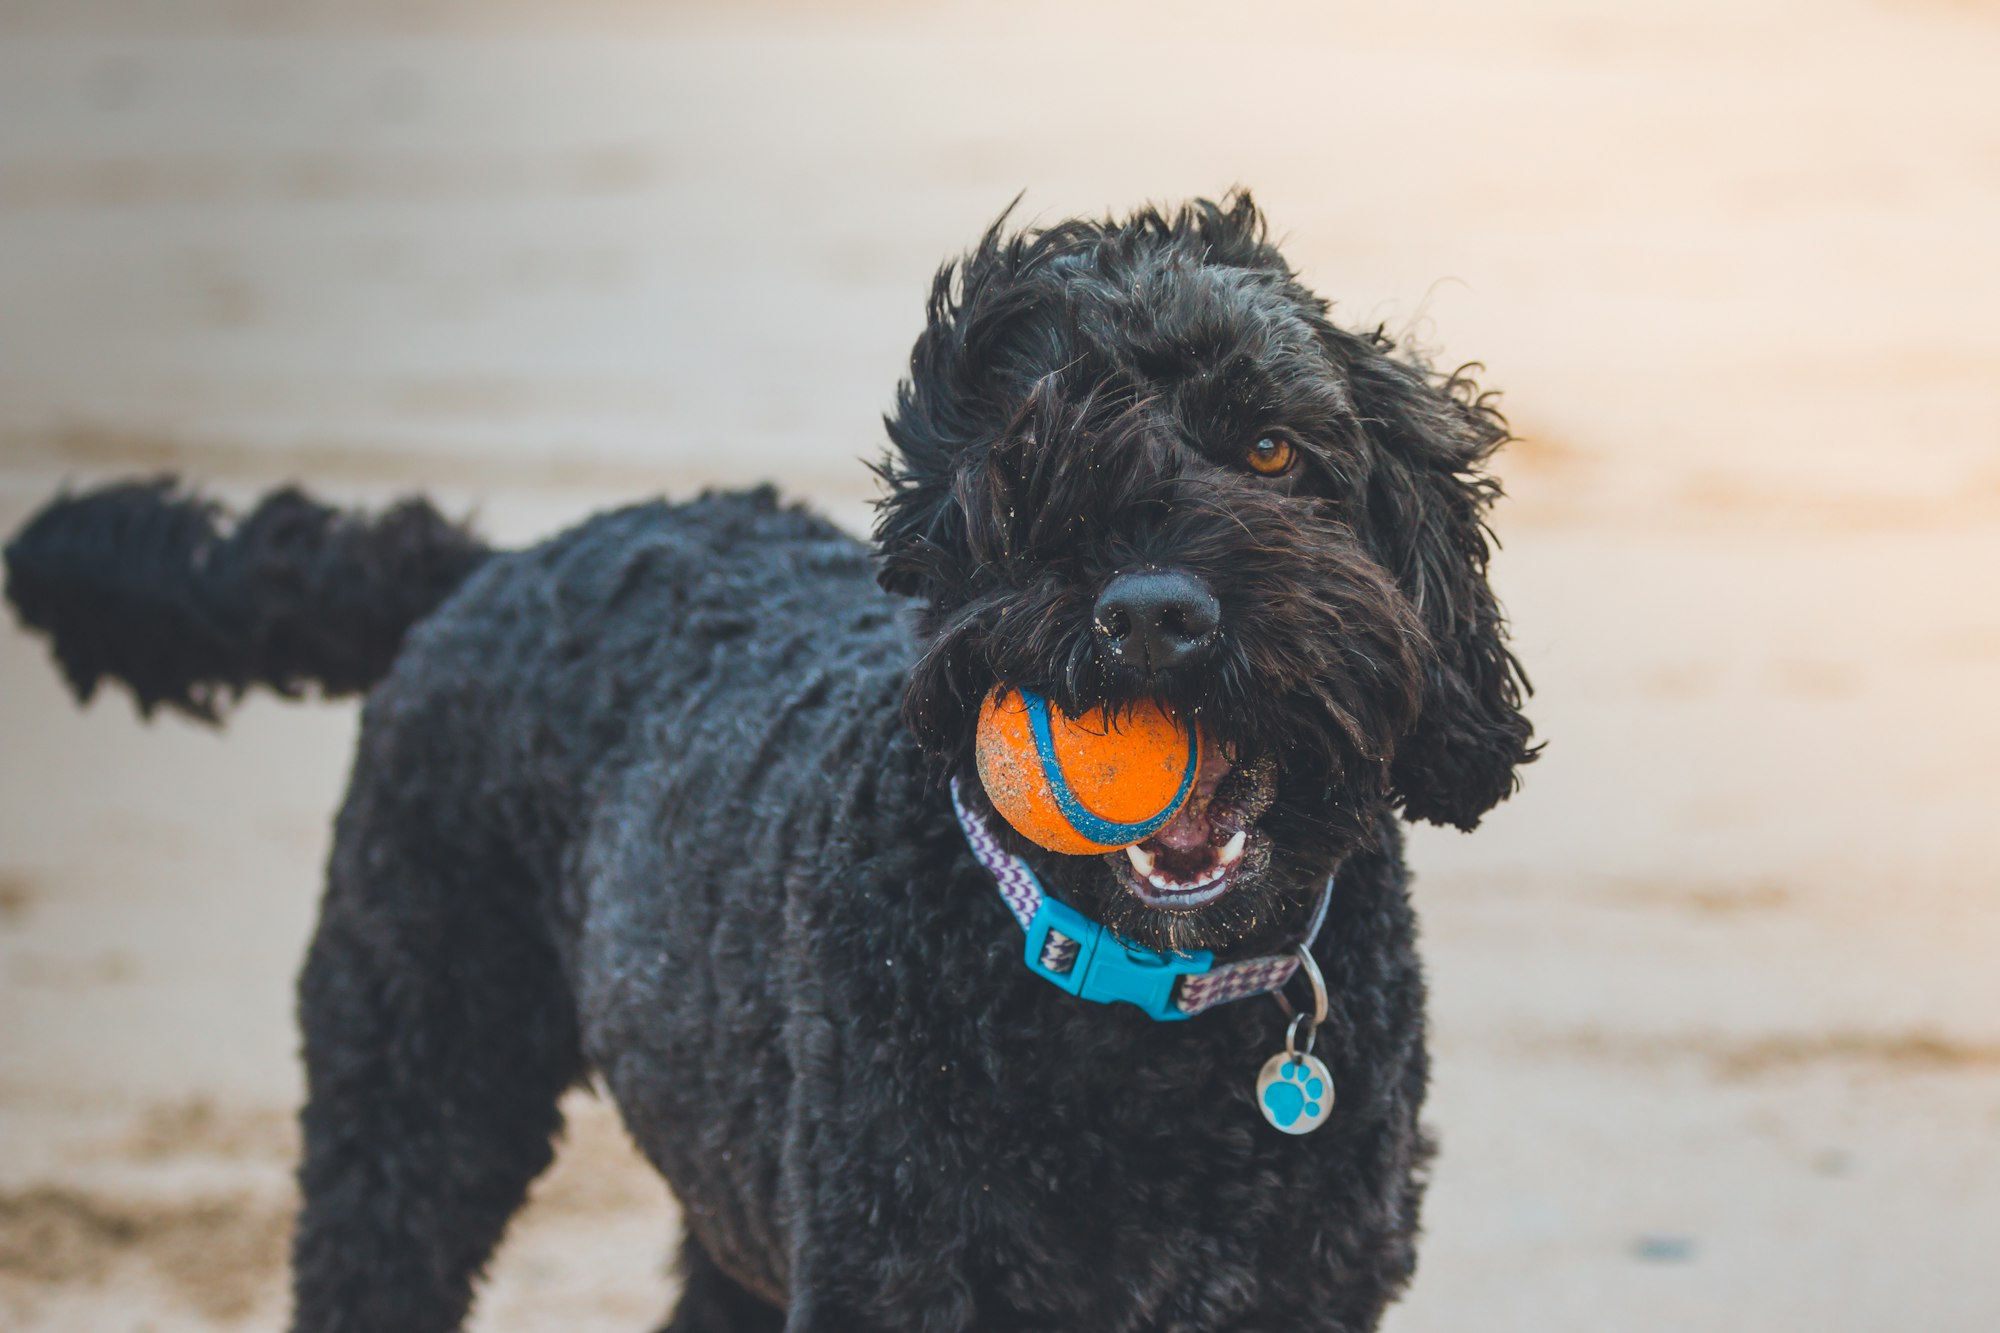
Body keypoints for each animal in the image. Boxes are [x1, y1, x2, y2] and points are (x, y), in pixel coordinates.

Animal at [3, 192, 1528, 1320]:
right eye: (1026, 464)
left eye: (1271, 448)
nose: (1152, 614)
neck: (1139, 1012)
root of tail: (496, 563)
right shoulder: (894, 1273)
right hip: (415, 1088)